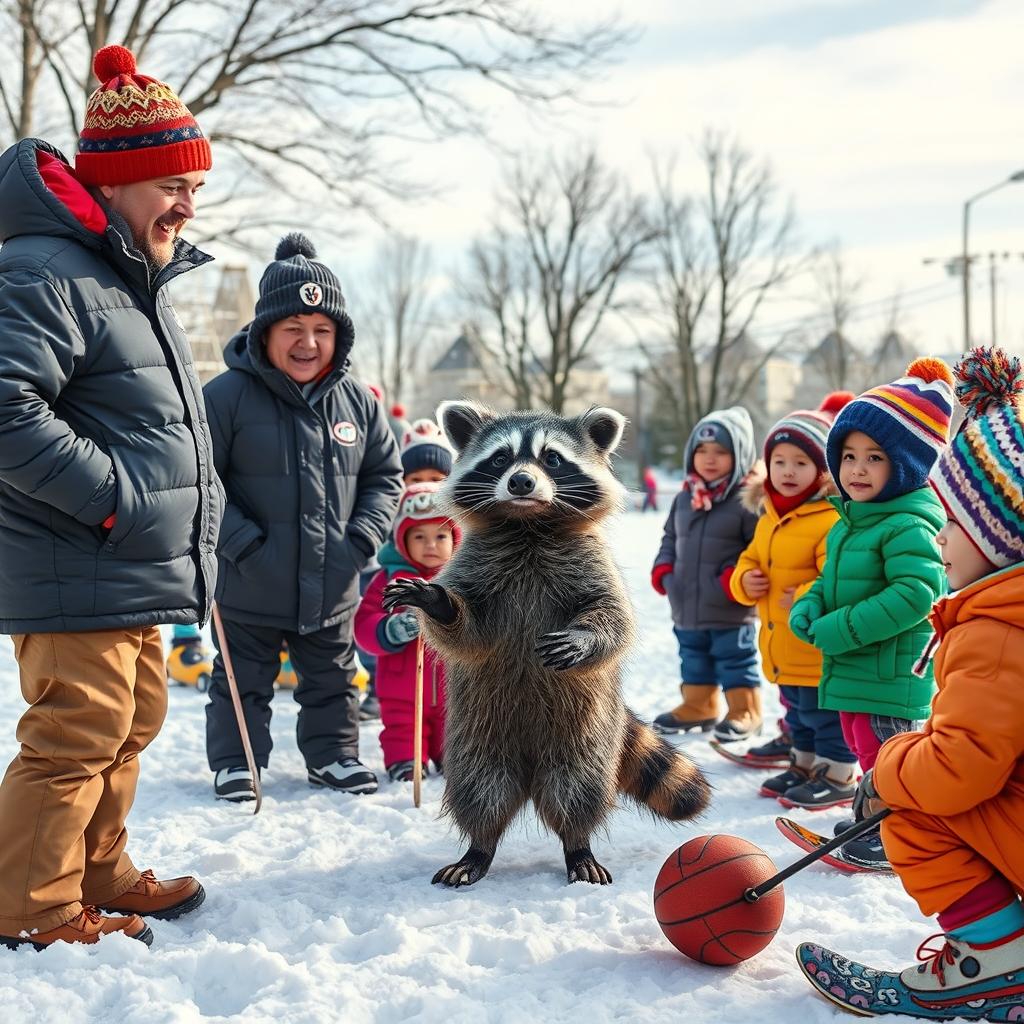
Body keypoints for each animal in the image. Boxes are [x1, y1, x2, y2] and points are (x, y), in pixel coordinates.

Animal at [385, 403, 712, 884]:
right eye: (501, 458)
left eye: (552, 459)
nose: (521, 481)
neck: (528, 525)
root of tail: (529, 768)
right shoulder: (475, 564)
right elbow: (466, 630)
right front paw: (437, 601)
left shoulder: (591, 562)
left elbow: (614, 617)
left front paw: (584, 637)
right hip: (475, 731)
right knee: (481, 785)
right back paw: (479, 846)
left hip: (587, 731)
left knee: (576, 785)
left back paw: (578, 844)